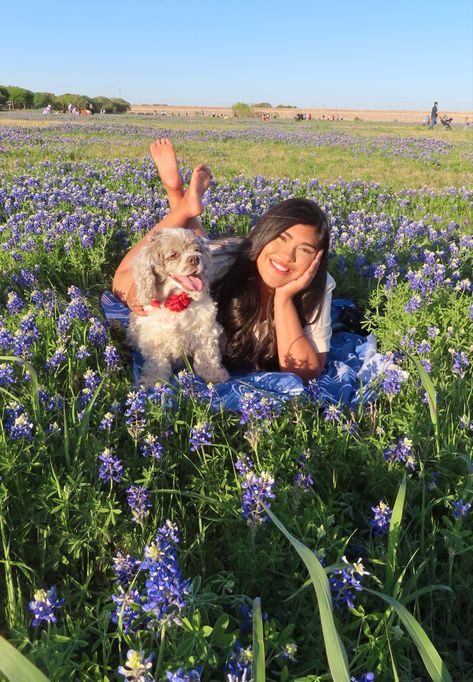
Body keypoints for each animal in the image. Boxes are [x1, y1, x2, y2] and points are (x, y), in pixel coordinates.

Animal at [125, 228, 229, 386]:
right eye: (174, 255)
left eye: (197, 250)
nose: (195, 259)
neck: (175, 301)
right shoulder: (155, 337)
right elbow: (156, 363)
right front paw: (154, 381)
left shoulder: (205, 331)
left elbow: (208, 356)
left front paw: (214, 374)